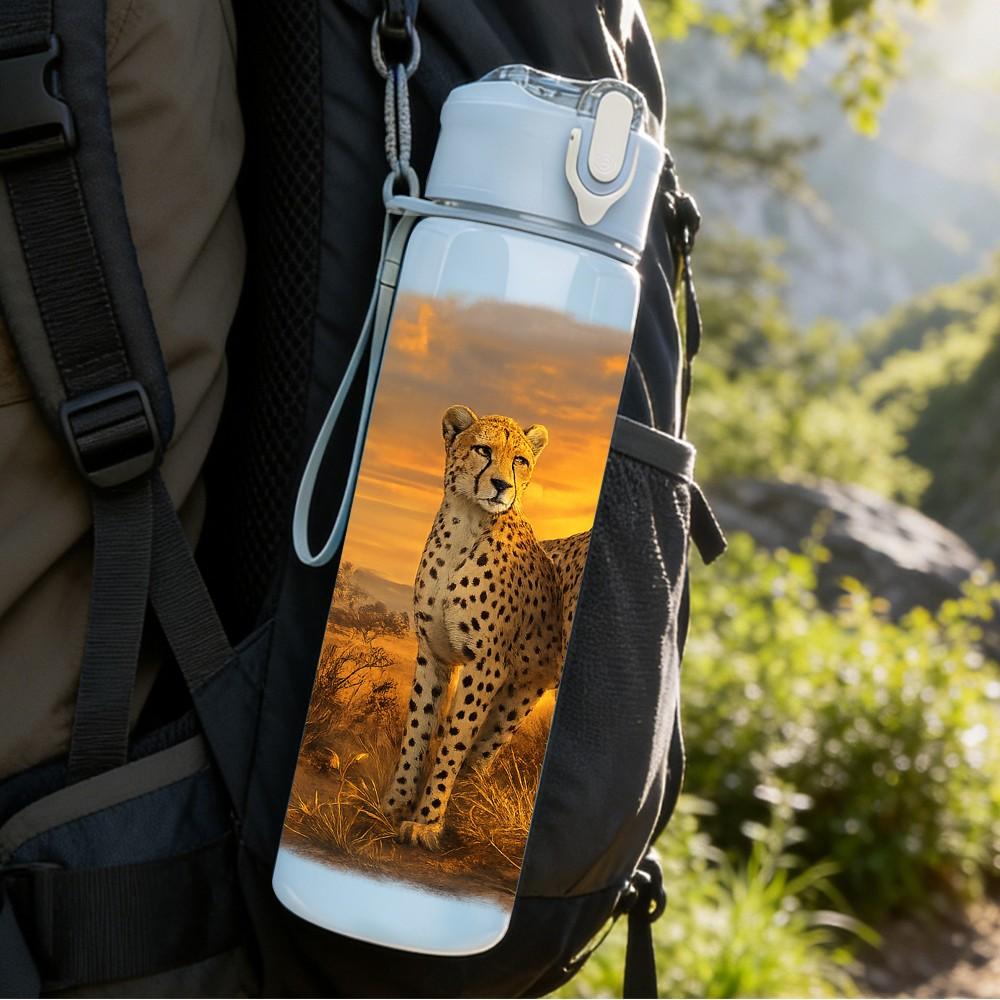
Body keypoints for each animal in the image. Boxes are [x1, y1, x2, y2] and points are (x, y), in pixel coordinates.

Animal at [383, 403, 589, 850]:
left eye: (520, 460)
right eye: (482, 449)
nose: (500, 485)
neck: (465, 524)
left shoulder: (486, 665)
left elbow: (453, 739)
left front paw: (426, 822)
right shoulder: (434, 654)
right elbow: (419, 729)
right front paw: (394, 803)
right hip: (520, 691)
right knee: (487, 748)